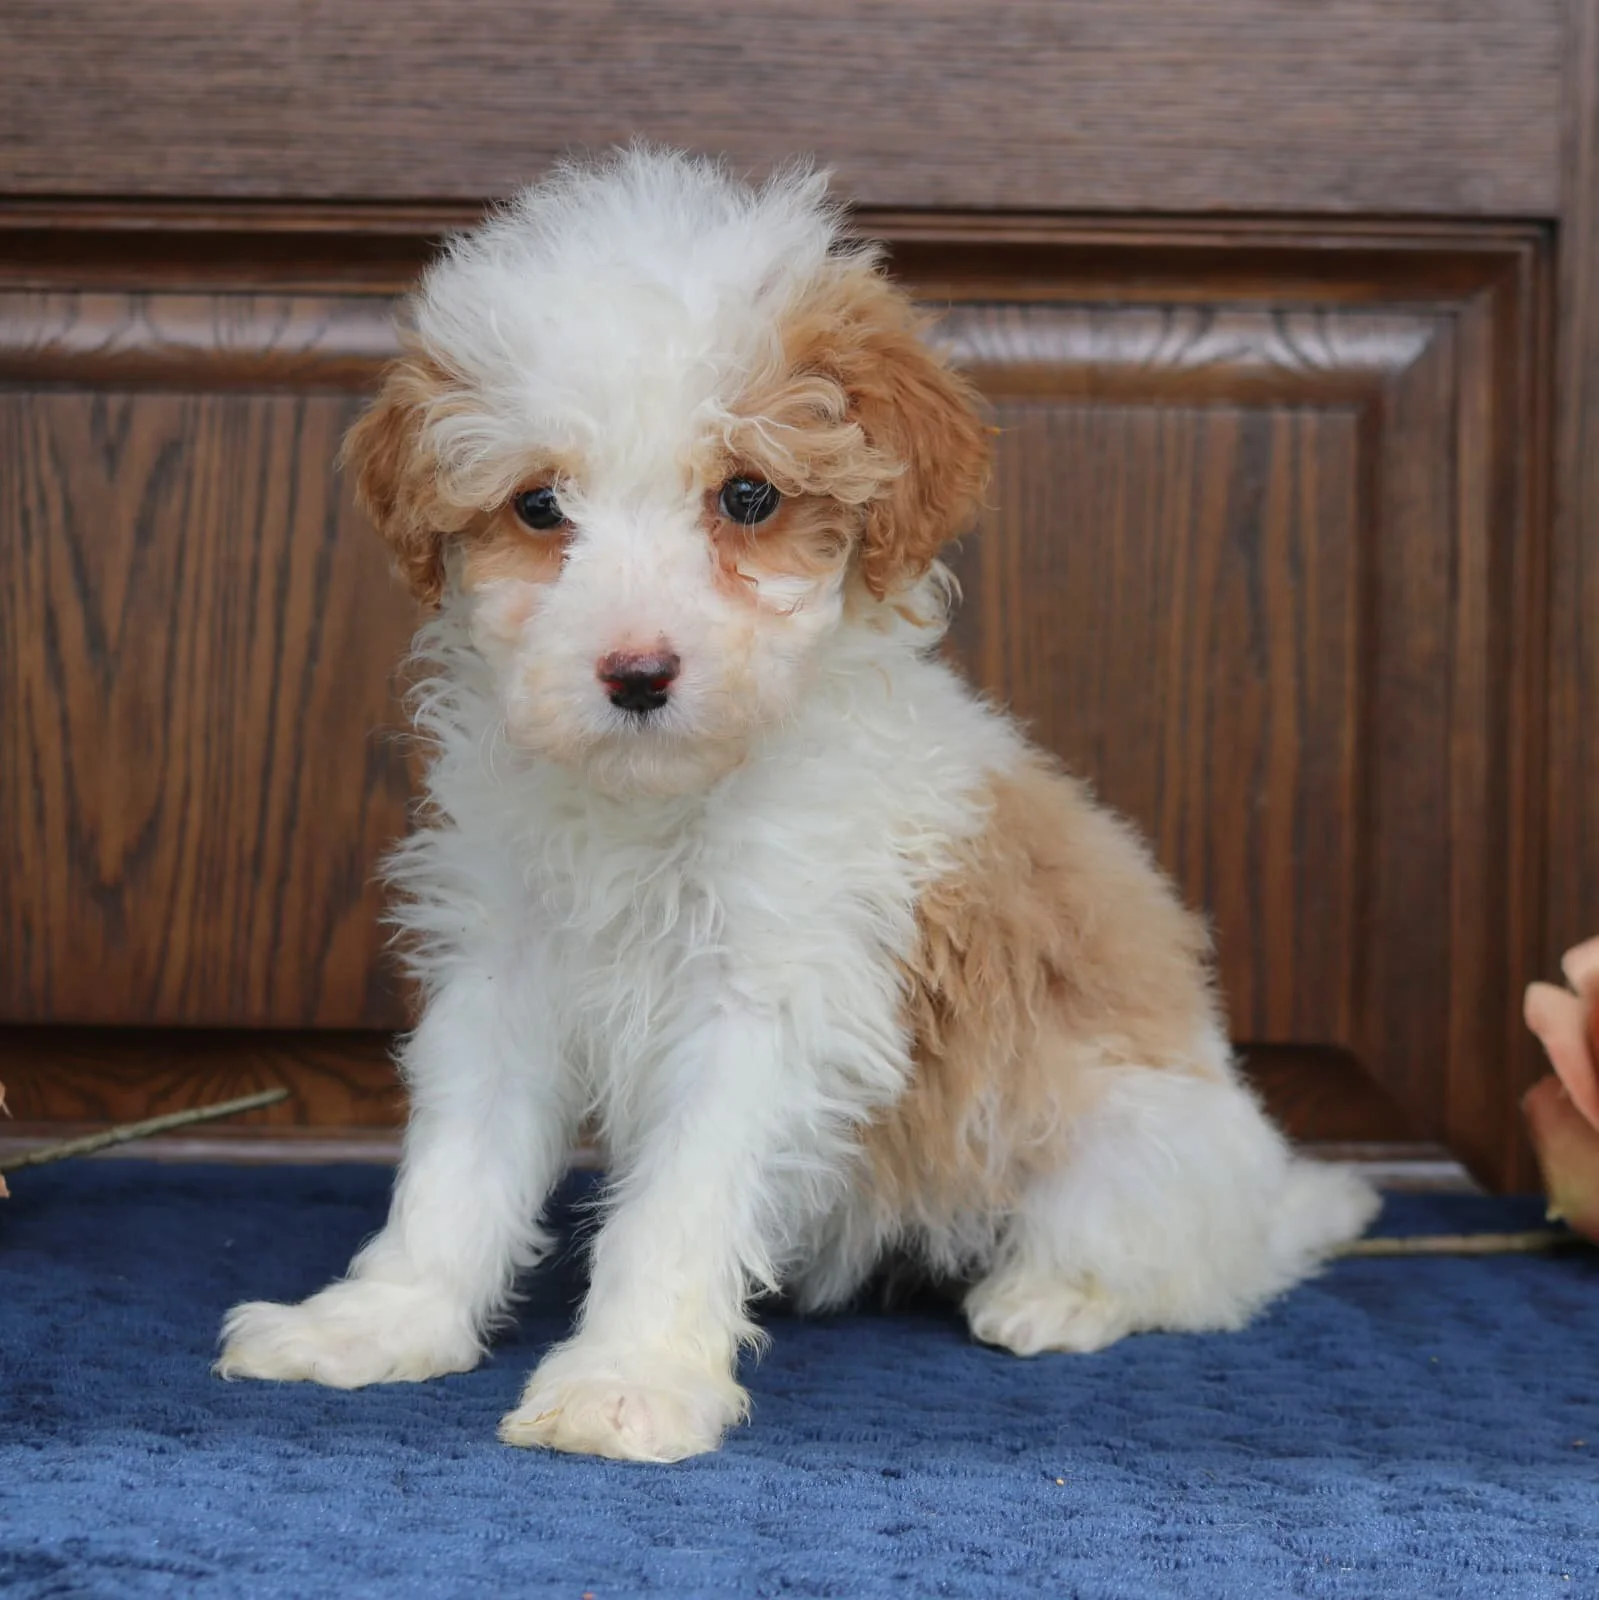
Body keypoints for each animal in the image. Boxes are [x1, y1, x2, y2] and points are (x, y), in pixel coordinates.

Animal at [217, 147, 1379, 1461]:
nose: (636, 673)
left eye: (749, 497)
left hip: (1123, 1137)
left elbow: (676, 1203)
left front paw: (629, 1378)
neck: (654, 806)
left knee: (1200, 1273)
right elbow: (453, 1171)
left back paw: (1055, 1295)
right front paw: (381, 1323)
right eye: (538, 507)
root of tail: (1269, 1186)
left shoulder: (767, 997)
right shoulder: (503, 965)